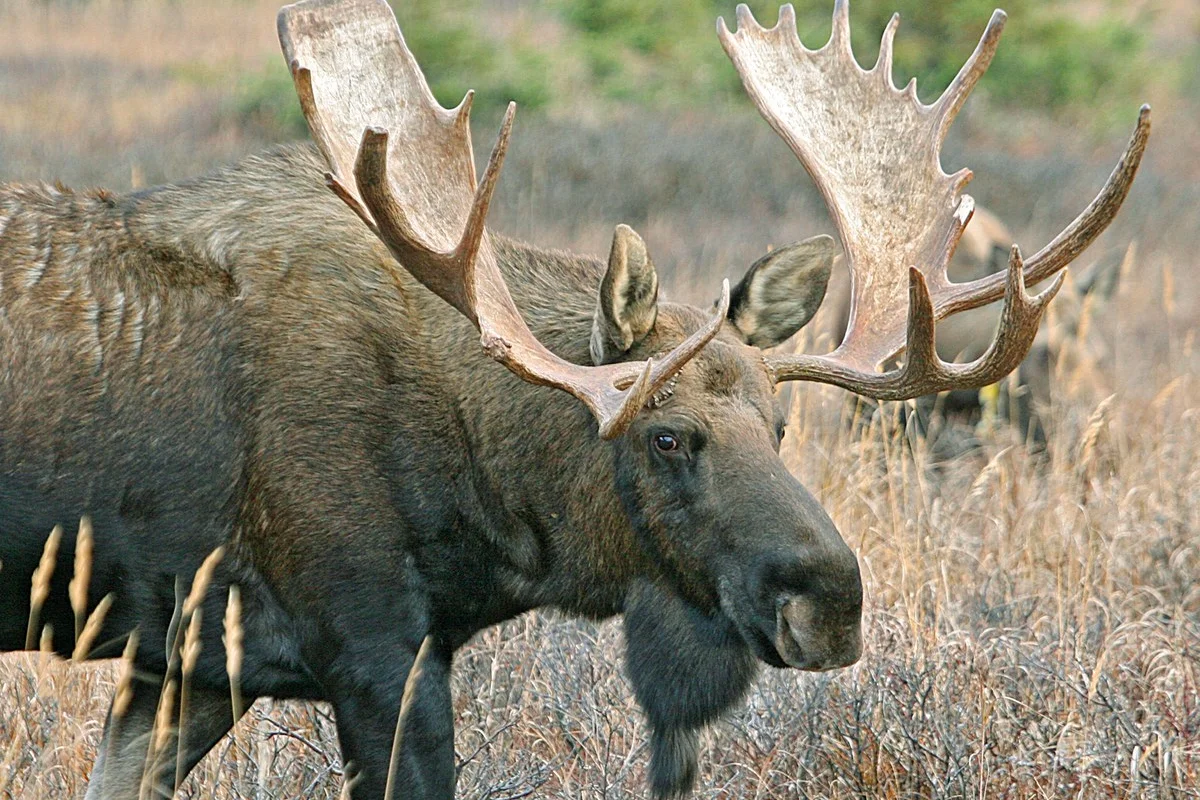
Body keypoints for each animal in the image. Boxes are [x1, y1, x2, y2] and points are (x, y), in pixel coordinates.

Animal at [0, 1, 1148, 798]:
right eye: (668, 436)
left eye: (780, 425)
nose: (831, 599)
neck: (486, 503)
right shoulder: (372, 648)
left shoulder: (188, 663)